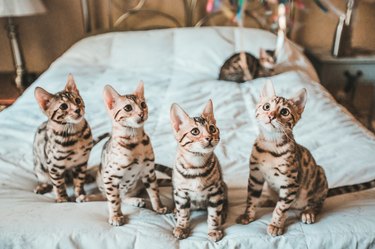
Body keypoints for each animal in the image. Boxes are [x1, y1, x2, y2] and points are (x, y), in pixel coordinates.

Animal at [33, 74, 93, 202]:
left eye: (78, 100)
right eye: (63, 106)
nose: (77, 109)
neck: (75, 133)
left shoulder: (81, 162)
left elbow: (79, 182)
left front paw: (80, 194)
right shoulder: (54, 166)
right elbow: (59, 185)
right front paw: (63, 199)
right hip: (40, 168)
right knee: (46, 180)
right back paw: (42, 187)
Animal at [94, 81, 169, 226]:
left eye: (143, 104)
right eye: (128, 108)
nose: (141, 113)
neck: (136, 140)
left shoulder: (149, 172)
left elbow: (154, 192)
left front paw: (158, 207)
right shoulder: (110, 177)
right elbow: (114, 200)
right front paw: (116, 216)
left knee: (125, 196)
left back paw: (136, 200)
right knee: (115, 197)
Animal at [170, 100, 229, 242]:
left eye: (212, 128)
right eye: (195, 131)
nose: (209, 137)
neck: (196, 165)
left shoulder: (215, 191)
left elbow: (214, 214)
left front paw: (214, 230)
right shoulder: (181, 193)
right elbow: (183, 213)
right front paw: (182, 227)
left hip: (223, 186)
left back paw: (224, 212)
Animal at [238, 80, 375, 236]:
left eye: (284, 112)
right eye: (266, 106)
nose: (271, 116)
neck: (270, 145)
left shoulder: (290, 183)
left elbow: (281, 208)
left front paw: (276, 225)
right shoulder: (255, 175)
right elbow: (251, 198)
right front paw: (248, 215)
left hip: (320, 175)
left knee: (317, 204)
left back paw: (308, 212)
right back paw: (266, 201)